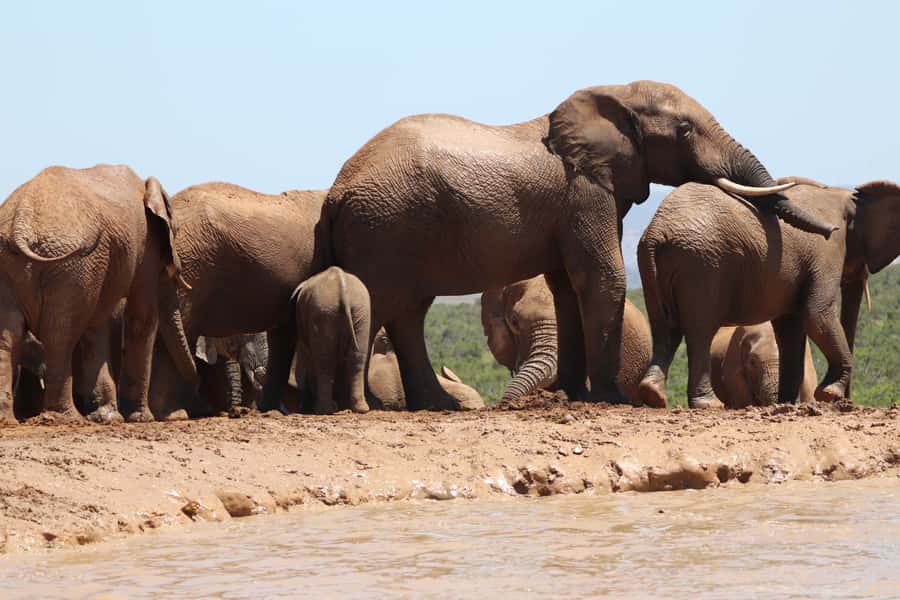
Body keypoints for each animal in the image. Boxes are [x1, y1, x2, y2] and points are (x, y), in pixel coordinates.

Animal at [0, 165, 196, 424]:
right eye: (177, 231)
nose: (197, 378)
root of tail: (21, 223)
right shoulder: (146, 248)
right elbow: (141, 318)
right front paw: (140, 419)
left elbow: (98, 323)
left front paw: (108, 417)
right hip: (72, 264)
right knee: (61, 335)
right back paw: (66, 417)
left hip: (22, 263)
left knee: (9, 335)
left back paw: (7, 419)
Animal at [291, 266, 370, 414]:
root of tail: (341, 283)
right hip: (358, 310)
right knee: (357, 357)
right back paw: (360, 409)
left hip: (324, 311)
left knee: (324, 361)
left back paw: (322, 410)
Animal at [637, 179, 899, 408]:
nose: (848, 401)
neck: (847, 198)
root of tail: (657, 232)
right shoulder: (828, 250)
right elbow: (816, 313)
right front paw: (829, 393)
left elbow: (790, 327)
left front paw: (787, 403)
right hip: (700, 264)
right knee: (699, 331)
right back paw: (709, 405)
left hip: (653, 266)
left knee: (664, 328)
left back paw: (653, 395)